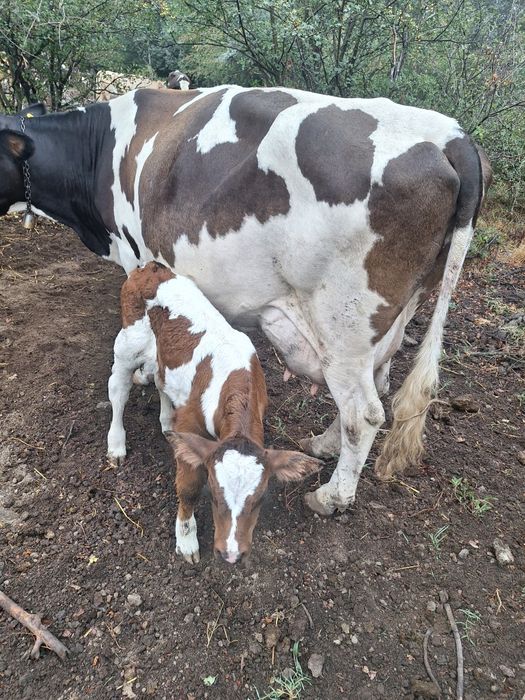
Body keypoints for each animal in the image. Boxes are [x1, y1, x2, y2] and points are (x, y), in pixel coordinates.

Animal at [0, 87, 489, 518]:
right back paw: (323, 444)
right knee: (372, 387)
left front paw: (142, 379)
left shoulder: (139, 258)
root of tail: (453, 137)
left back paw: (332, 495)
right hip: (387, 320)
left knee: (364, 411)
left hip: (344, 321)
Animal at [107, 262, 321, 563]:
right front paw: (187, 542)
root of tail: (151, 267)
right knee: (118, 388)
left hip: (163, 354)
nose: (231, 554)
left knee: (161, 380)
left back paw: (165, 422)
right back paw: (116, 445)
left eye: (260, 500)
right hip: (128, 342)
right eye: (214, 495)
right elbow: (188, 488)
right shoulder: (191, 424)